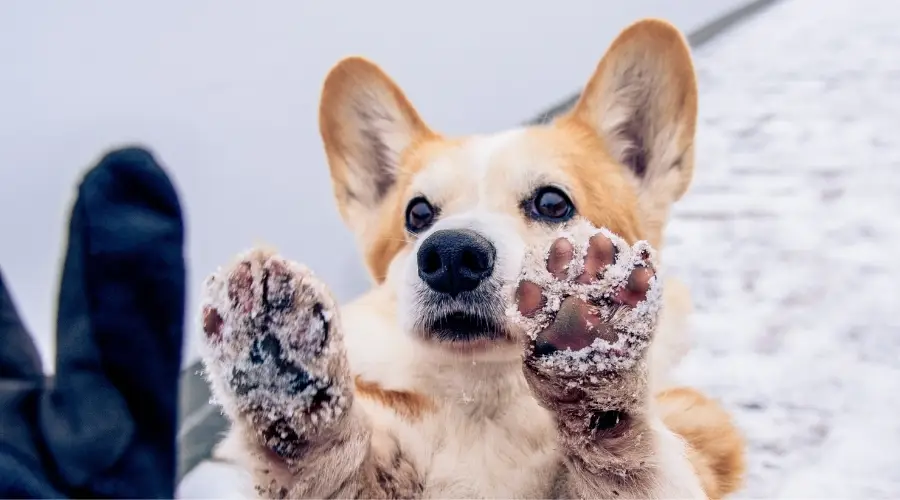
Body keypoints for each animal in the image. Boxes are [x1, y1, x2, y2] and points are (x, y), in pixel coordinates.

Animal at [202, 17, 744, 500]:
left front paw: (590, 349)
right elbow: (335, 468)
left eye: (553, 203)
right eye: (418, 213)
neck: (485, 401)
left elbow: (629, 460)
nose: (450, 255)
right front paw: (283, 367)